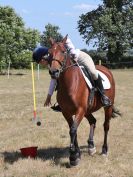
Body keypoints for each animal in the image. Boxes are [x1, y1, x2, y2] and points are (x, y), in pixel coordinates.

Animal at [48, 35, 121, 166]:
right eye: (49, 52)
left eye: (63, 51)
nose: (53, 72)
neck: (70, 84)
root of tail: (106, 70)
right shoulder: (66, 112)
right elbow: (73, 130)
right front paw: (77, 154)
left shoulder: (80, 110)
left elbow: (73, 130)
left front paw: (73, 157)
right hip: (88, 110)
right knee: (93, 121)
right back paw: (91, 146)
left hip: (107, 107)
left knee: (106, 126)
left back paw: (104, 150)